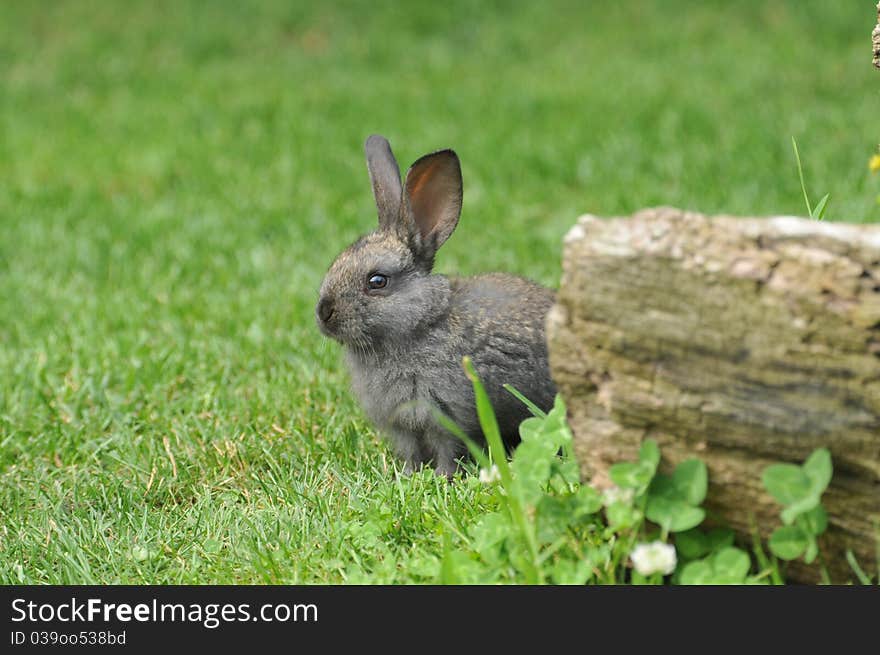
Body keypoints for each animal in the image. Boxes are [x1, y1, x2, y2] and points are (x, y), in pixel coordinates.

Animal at [316, 136, 556, 480]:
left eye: (377, 281)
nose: (323, 313)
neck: (419, 326)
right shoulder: (402, 425)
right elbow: (410, 453)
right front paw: (406, 477)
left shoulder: (447, 416)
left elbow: (448, 450)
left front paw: (443, 477)